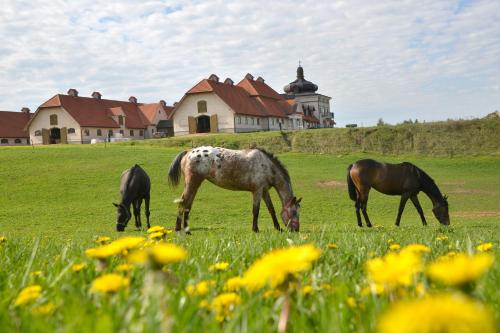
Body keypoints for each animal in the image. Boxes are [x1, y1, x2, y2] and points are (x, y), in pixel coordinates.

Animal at [167, 145, 300, 233]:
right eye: (294, 212)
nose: (296, 230)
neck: (267, 166)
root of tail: (188, 152)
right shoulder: (257, 191)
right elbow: (256, 210)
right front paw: (255, 229)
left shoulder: (264, 191)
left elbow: (271, 209)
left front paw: (278, 228)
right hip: (192, 183)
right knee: (182, 203)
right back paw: (179, 229)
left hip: (195, 184)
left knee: (188, 205)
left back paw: (186, 229)